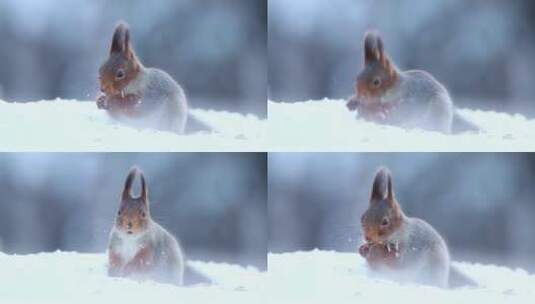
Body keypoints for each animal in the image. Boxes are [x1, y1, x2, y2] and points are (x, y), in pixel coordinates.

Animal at [348, 31, 482, 134]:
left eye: (376, 82)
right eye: (357, 78)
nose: (361, 96)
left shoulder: (412, 99)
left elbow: (403, 109)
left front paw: (385, 113)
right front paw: (353, 102)